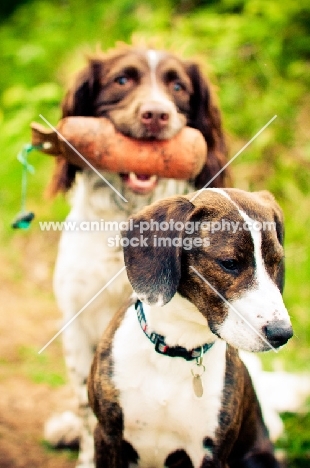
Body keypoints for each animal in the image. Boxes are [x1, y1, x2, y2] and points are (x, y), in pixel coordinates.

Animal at [88, 188, 294, 468]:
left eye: (276, 262)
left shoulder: (211, 453)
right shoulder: (107, 436)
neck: (177, 348)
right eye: (229, 263)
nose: (282, 333)